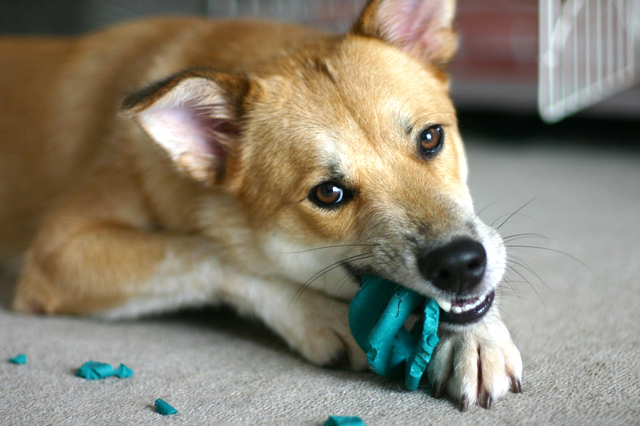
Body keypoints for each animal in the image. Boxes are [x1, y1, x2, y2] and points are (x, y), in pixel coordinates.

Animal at [1, 0, 520, 412]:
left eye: (431, 138)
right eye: (328, 194)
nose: (460, 265)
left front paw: (477, 336)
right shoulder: (58, 252)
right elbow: (211, 252)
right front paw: (318, 316)